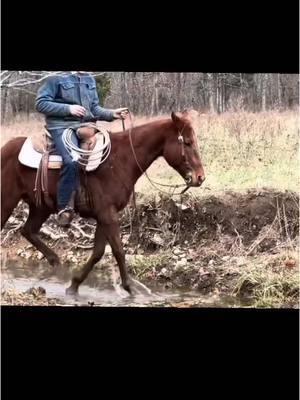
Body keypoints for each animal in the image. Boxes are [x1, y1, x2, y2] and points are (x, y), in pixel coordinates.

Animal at [0, 111, 205, 296]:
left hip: (40, 207)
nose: (200, 177)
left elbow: (98, 252)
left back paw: (56, 262)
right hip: (7, 201)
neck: (121, 160)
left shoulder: (103, 216)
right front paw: (130, 288)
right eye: (187, 142)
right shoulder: (108, 214)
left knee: (28, 231)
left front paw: (74, 285)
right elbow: (118, 250)